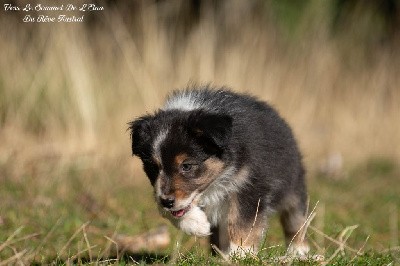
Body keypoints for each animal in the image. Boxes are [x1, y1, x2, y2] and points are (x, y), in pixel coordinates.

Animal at [129, 86, 310, 256]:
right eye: (153, 167)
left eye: (186, 166)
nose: (166, 201)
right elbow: (171, 212)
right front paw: (198, 225)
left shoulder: (250, 185)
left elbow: (242, 221)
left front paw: (240, 253)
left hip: (293, 188)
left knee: (295, 220)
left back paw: (298, 251)